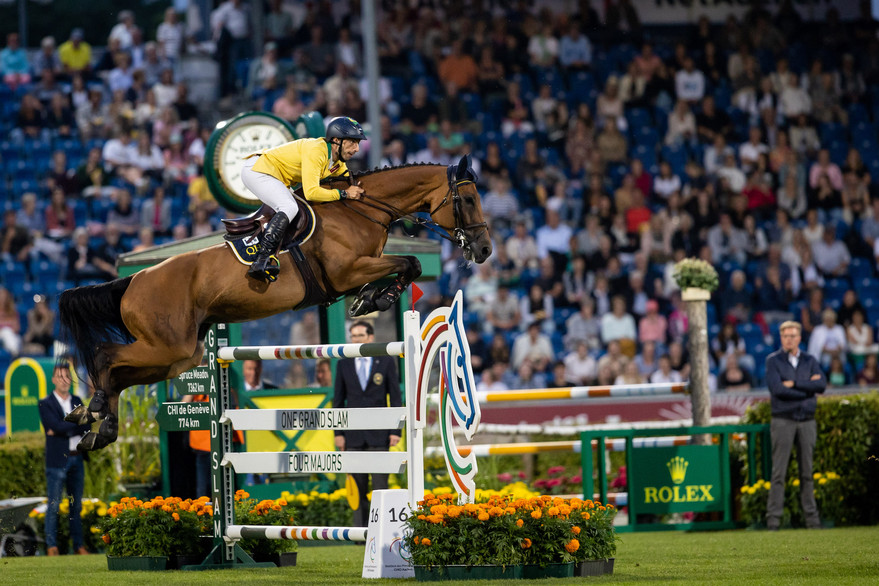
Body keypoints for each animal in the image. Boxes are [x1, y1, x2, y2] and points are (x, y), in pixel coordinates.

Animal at [58, 154, 492, 448]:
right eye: (469, 200)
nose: (485, 249)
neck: (359, 209)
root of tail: (133, 280)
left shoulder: (357, 271)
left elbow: (405, 267)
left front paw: (370, 299)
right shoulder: (348, 270)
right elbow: (410, 262)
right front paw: (377, 298)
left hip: (178, 355)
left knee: (121, 373)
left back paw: (96, 426)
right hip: (166, 345)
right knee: (106, 356)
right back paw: (93, 409)